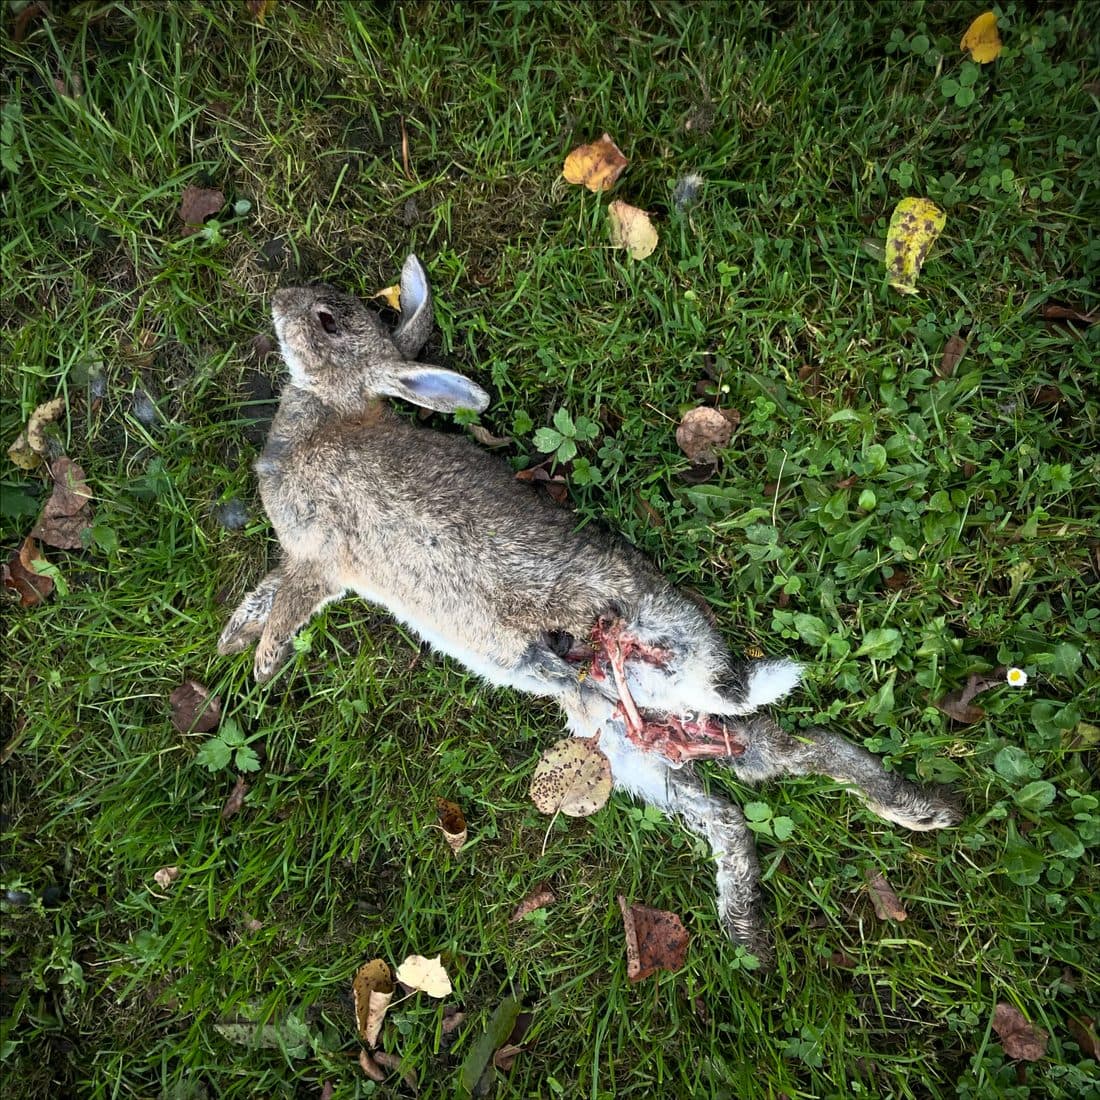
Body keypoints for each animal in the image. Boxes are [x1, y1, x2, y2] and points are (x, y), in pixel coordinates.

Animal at [219, 255, 960, 963]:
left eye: (327, 319)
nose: (280, 298)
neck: (329, 414)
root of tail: (717, 682)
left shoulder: (321, 558)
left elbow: (289, 605)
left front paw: (262, 664)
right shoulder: (303, 562)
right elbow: (268, 593)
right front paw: (234, 638)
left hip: (653, 651)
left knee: (781, 752)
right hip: (637, 747)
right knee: (753, 783)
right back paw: (784, 904)